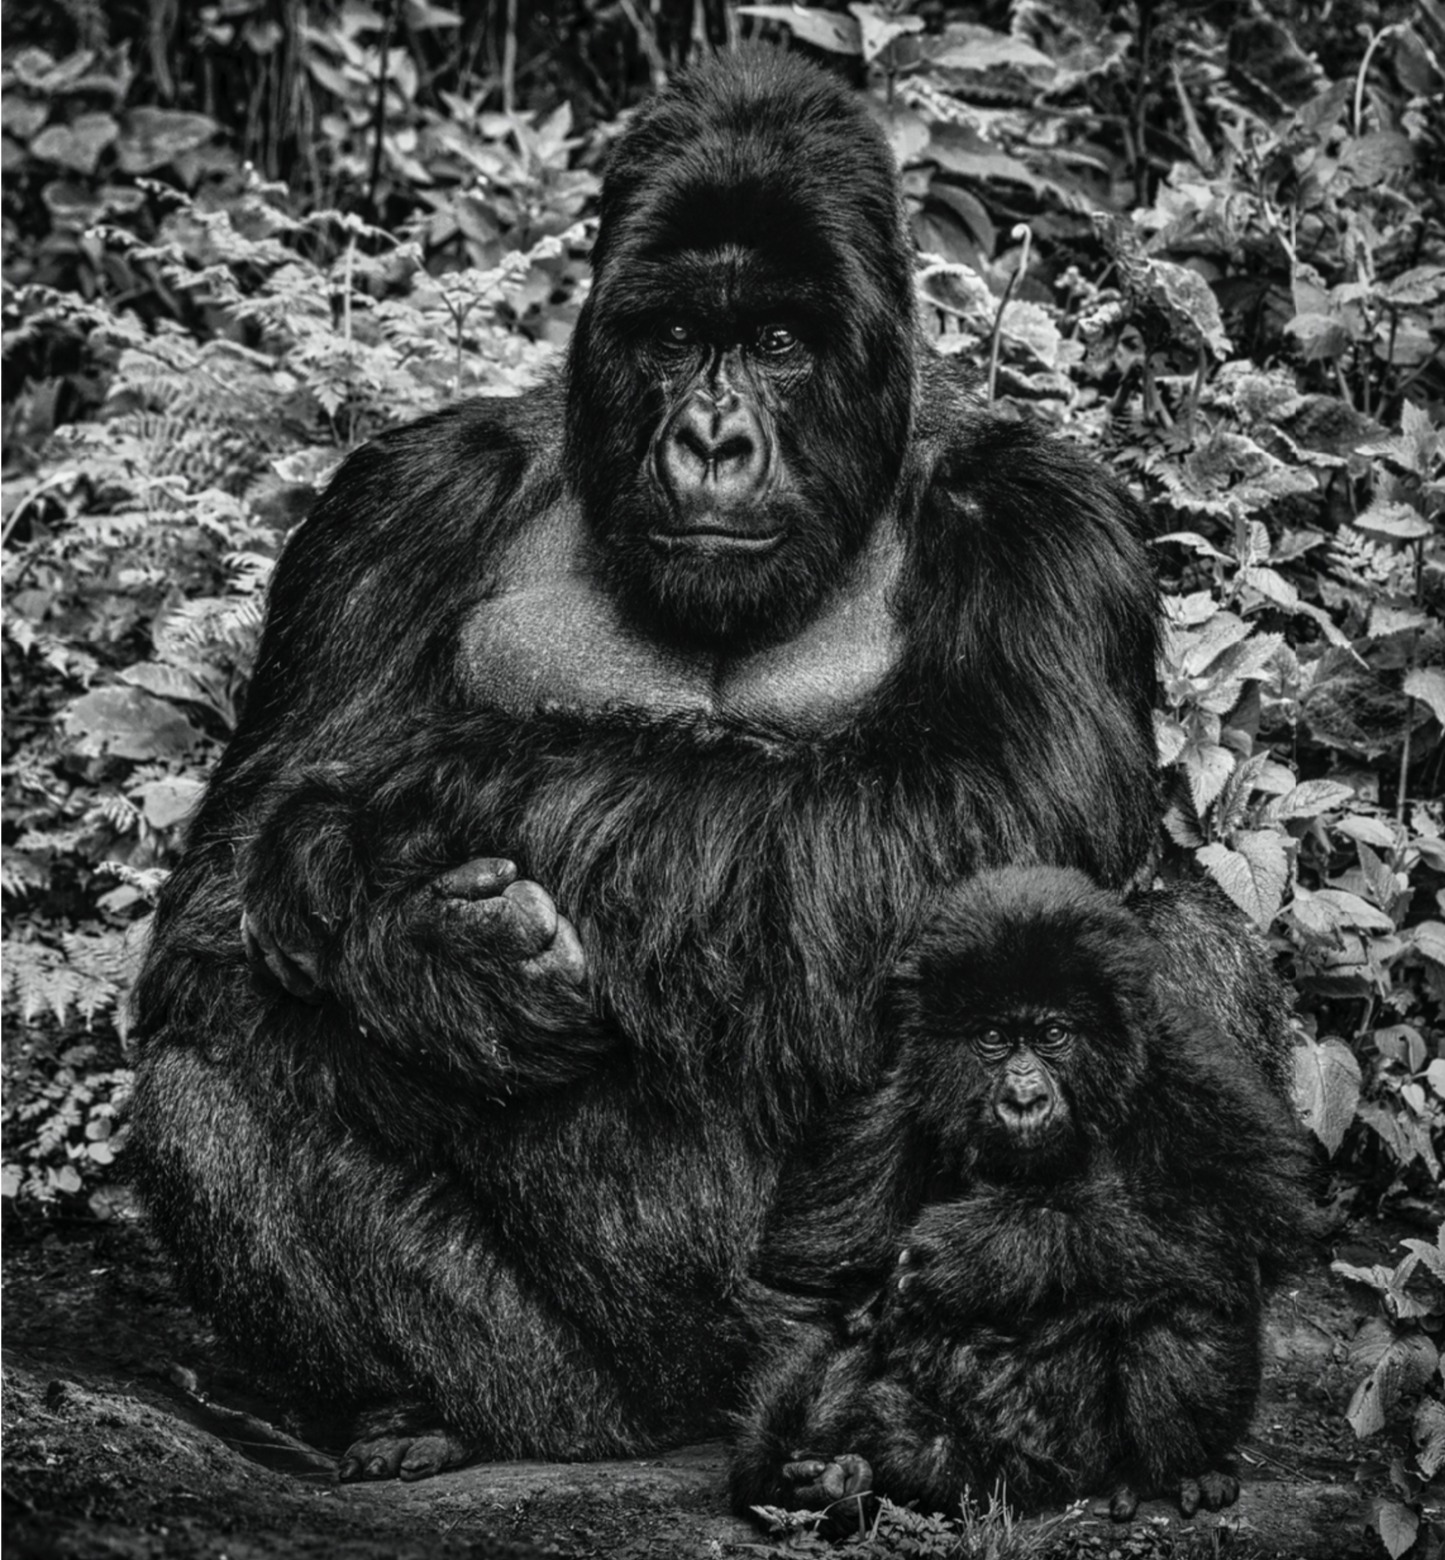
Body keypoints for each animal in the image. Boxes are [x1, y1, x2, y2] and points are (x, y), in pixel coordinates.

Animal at [132, 48, 1167, 1478]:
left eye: (778, 344)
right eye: (674, 338)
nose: (712, 442)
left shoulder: (1043, 513)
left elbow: (1002, 819)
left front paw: (396, 819)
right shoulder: (395, 505)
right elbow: (211, 922)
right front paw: (428, 962)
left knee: (1165, 933)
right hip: (583, 1401)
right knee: (205, 1083)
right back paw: (417, 1418)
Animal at [736, 873, 1310, 1528]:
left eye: (1052, 1035)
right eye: (992, 1037)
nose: (1024, 1097)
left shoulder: (1190, 1066)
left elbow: (1254, 1206)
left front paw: (995, 1250)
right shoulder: (888, 1106)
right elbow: (816, 1288)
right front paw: (781, 1466)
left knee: (1186, 1286)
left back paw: (1173, 1471)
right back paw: (848, 1477)